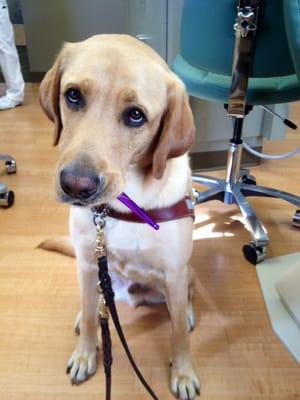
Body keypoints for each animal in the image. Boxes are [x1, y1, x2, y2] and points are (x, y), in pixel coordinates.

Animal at [38, 35, 200, 400]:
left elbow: (179, 336)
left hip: (183, 275)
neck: (126, 204)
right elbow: (89, 317)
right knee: (94, 305)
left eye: (136, 115)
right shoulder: (87, 262)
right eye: (73, 95)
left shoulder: (174, 271)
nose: (76, 185)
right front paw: (85, 354)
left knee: (183, 302)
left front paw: (183, 373)